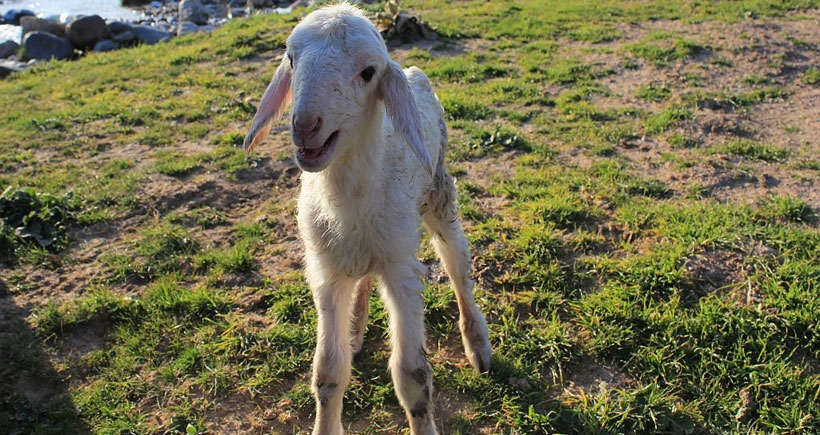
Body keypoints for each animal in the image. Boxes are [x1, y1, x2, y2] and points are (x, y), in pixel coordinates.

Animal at [240, 2, 490, 432]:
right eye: (291, 59)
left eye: (369, 72)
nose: (304, 127)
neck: (348, 200)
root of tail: (412, 72)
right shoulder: (325, 271)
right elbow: (327, 372)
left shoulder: (402, 270)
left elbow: (412, 376)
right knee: (365, 276)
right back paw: (355, 327)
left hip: (439, 194)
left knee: (458, 267)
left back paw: (477, 344)